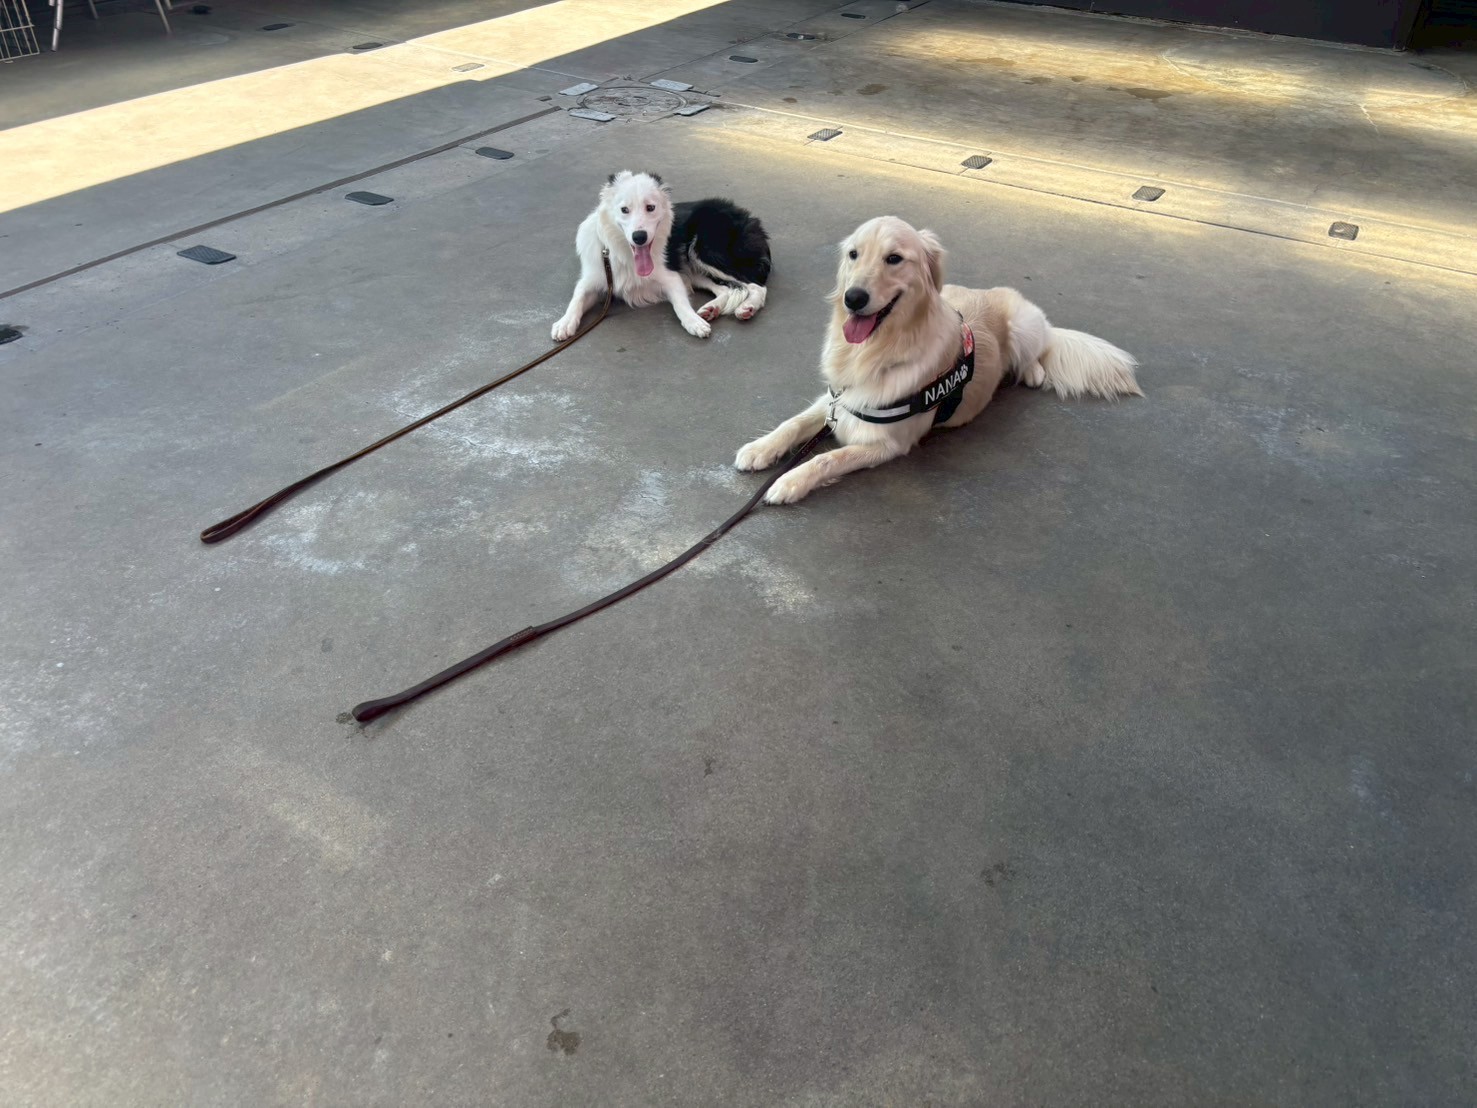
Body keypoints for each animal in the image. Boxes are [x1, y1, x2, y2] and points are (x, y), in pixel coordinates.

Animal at [552, 170, 772, 342]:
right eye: (624, 210)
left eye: (650, 207)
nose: (639, 237)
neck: (624, 253)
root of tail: (751, 219)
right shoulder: (595, 278)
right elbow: (577, 297)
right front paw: (564, 322)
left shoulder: (671, 277)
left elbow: (680, 303)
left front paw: (693, 322)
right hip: (694, 268)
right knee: (726, 289)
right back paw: (712, 309)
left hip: (707, 252)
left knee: (757, 286)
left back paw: (748, 307)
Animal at [735, 215, 1141, 503]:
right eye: (853, 254)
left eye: (894, 259)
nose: (853, 298)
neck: (879, 349)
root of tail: (991, 290)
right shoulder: (839, 399)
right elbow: (793, 423)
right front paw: (759, 449)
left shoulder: (887, 444)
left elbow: (825, 458)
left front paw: (789, 482)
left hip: (1024, 325)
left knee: (1039, 349)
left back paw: (1034, 372)